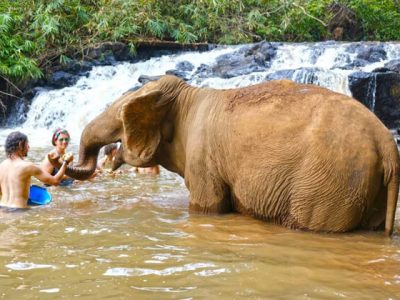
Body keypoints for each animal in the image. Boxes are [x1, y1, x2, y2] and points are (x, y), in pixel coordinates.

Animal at [50, 74, 400, 234]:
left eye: (119, 116)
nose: (63, 159)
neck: (185, 96)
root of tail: (387, 144)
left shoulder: (202, 155)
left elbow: (208, 206)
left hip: (328, 183)